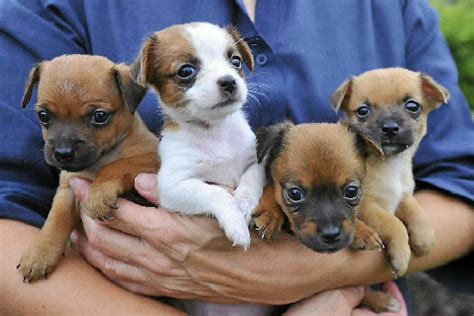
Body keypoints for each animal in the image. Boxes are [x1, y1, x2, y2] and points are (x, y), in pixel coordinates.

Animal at [17, 55, 159, 284]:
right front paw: (40, 254)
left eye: (99, 116)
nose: (63, 153)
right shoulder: (67, 189)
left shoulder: (151, 159)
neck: (97, 163)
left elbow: (117, 165)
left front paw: (99, 193)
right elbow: (55, 220)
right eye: (43, 115)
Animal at [133, 22, 264, 251]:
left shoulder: (255, 162)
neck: (216, 131)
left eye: (236, 61)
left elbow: (251, 178)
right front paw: (236, 223)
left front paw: (243, 204)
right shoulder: (174, 185)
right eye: (186, 71)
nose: (229, 81)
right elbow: (216, 192)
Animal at [330, 66, 448, 276]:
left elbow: (415, 209)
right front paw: (401, 256)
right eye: (363, 110)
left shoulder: (403, 195)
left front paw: (424, 237)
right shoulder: (367, 206)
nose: (390, 128)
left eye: (412, 106)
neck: (391, 164)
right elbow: (394, 223)